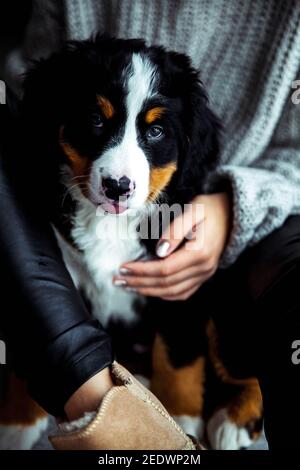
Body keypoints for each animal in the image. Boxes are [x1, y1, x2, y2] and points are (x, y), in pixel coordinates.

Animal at [0, 35, 262, 448]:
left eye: (155, 132)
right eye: (95, 119)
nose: (117, 187)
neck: (110, 224)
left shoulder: (183, 283)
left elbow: (176, 362)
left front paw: (179, 423)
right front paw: (15, 425)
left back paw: (235, 420)